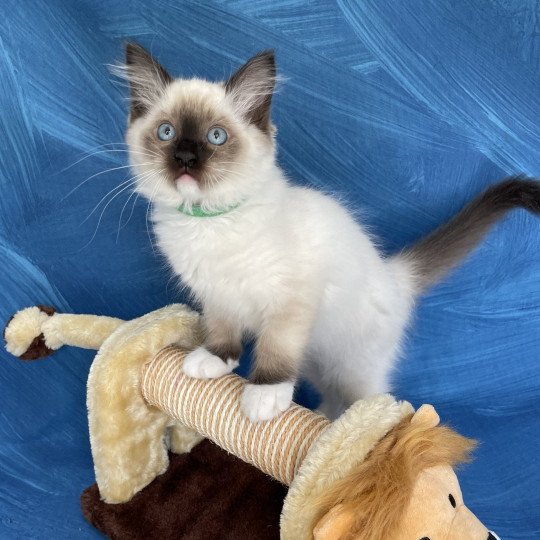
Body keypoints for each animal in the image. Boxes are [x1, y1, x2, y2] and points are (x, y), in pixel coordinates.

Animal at [122, 43, 540, 422]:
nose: (185, 159)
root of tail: (394, 274)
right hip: (317, 361)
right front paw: (214, 360)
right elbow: (222, 331)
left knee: (370, 401)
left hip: (353, 366)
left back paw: (342, 434)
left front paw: (263, 395)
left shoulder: (290, 301)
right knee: (334, 397)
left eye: (215, 138)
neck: (208, 220)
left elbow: (274, 348)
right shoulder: (217, 296)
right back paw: (323, 422)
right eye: (166, 132)